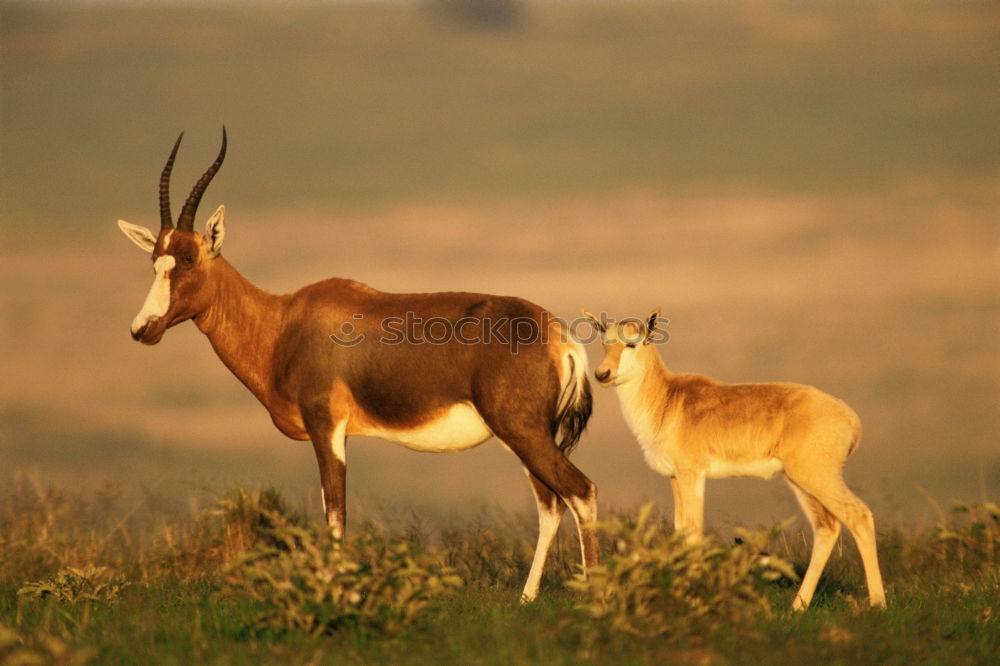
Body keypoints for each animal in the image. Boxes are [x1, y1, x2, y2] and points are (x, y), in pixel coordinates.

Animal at [120, 128, 596, 596]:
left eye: (189, 258)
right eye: (154, 260)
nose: (143, 329)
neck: (284, 321)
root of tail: (558, 335)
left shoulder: (325, 426)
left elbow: (336, 516)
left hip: (522, 431)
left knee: (581, 491)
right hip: (527, 436)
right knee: (551, 505)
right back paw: (526, 598)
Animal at [584, 306, 888, 608]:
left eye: (632, 343)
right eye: (604, 342)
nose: (602, 374)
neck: (668, 399)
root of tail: (850, 419)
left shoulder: (692, 474)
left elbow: (693, 531)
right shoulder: (675, 478)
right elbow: (680, 530)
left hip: (817, 478)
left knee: (859, 515)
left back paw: (877, 603)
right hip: (799, 482)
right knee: (826, 527)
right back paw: (797, 606)